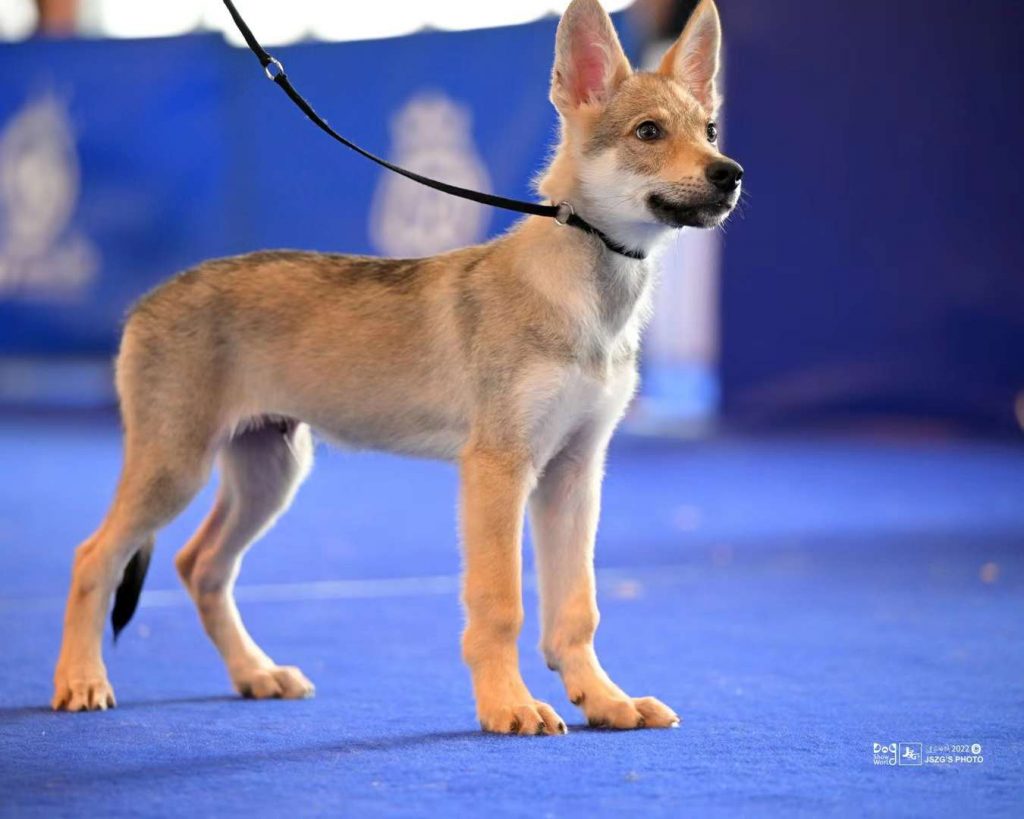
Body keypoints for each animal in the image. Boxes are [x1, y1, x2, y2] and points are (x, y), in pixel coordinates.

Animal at [52, 0, 742, 734]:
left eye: (709, 130)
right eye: (649, 132)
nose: (730, 172)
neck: (587, 301)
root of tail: (143, 302)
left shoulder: (574, 475)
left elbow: (576, 610)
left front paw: (606, 700)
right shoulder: (498, 470)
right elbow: (501, 604)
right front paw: (509, 704)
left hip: (270, 474)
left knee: (200, 565)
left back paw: (256, 673)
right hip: (176, 469)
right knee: (95, 556)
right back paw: (81, 679)